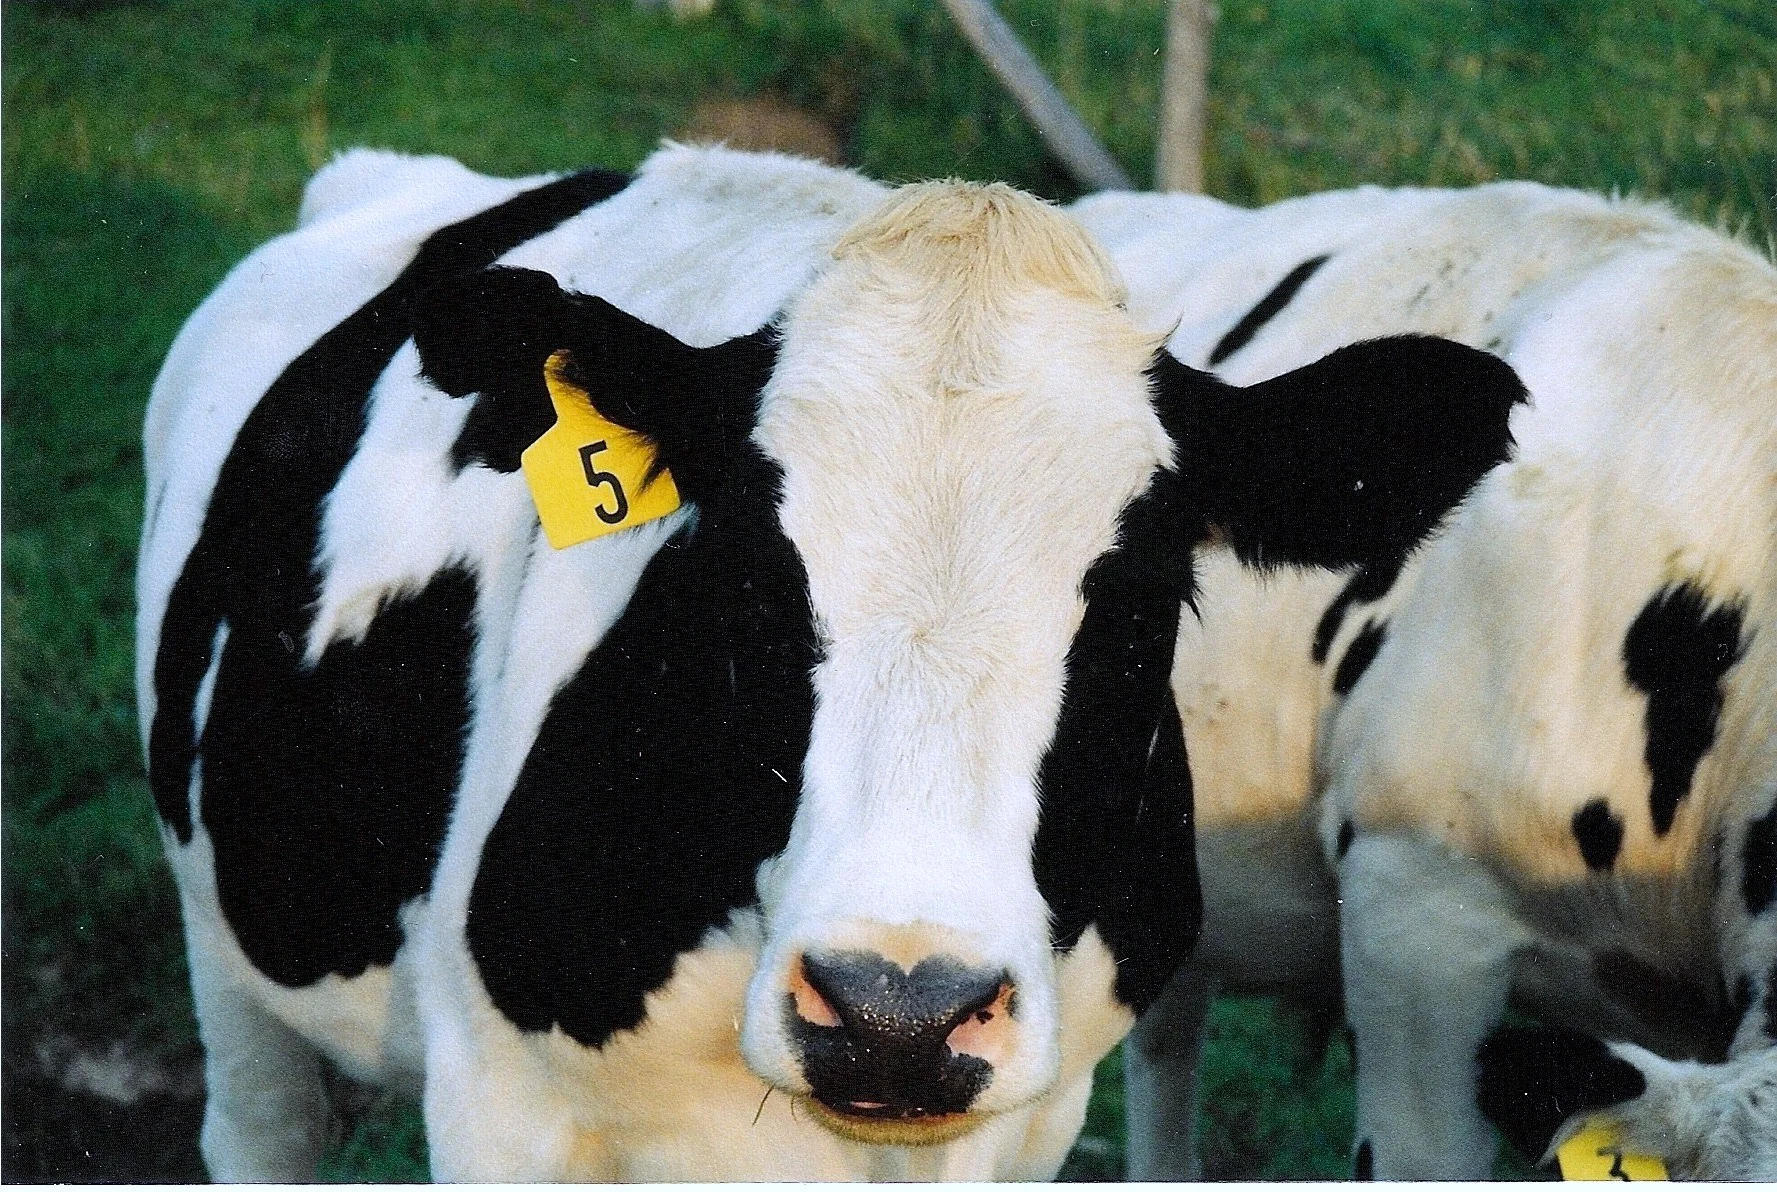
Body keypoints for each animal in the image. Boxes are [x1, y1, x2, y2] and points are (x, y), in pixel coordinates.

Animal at [137, 144, 1522, 1181]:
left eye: (1140, 602)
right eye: (744, 575)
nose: (892, 1012)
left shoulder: (1029, 1118)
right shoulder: (496, 1105)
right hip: (224, 946)